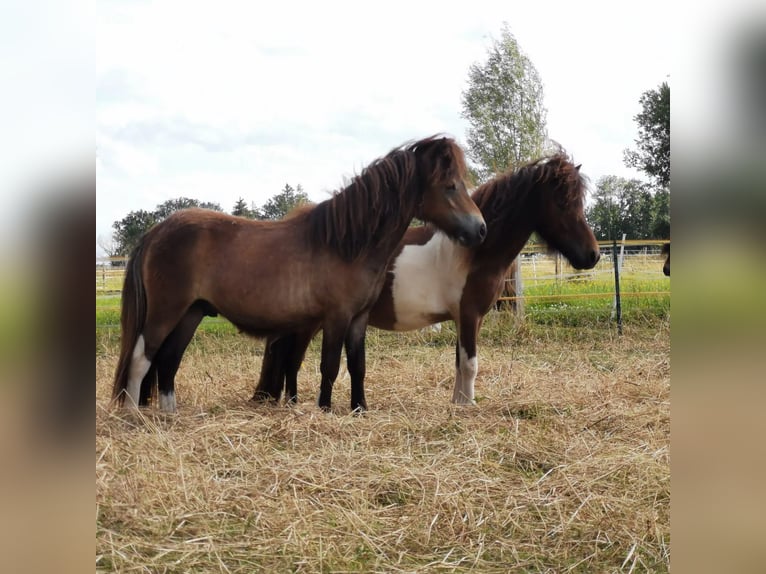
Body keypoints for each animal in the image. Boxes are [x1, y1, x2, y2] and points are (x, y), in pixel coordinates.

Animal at [114, 135, 486, 414]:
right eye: (450, 185)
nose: (480, 229)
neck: (347, 243)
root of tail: (157, 231)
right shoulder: (336, 317)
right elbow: (330, 366)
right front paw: (324, 409)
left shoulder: (359, 318)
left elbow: (358, 366)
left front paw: (359, 408)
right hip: (166, 311)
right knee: (141, 358)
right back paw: (134, 415)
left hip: (191, 313)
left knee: (167, 361)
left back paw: (169, 415)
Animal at [258, 151, 608, 408]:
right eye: (563, 202)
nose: (592, 255)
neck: (474, 251)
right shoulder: (469, 315)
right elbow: (470, 363)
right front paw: (468, 406)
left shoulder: (467, 319)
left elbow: (459, 362)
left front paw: (457, 403)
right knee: (291, 356)